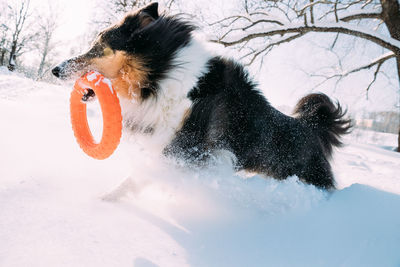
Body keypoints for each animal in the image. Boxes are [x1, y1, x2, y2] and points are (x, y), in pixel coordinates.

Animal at [52, 2, 350, 191]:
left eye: (98, 46)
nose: (55, 69)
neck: (163, 73)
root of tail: (310, 126)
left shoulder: (186, 149)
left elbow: (139, 178)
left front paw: (106, 201)